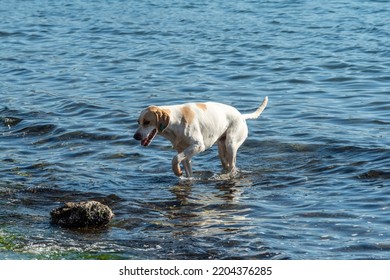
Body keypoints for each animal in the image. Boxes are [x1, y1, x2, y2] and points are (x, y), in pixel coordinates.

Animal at [134, 97, 268, 177]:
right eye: (138, 122)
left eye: (147, 122)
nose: (135, 136)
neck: (175, 121)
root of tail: (242, 116)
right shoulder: (184, 151)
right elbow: (186, 168)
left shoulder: (198, 146)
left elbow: (175, 159)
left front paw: (177, 171)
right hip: (222, 148)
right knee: (226, 164)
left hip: (231, 145)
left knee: (232, 166)